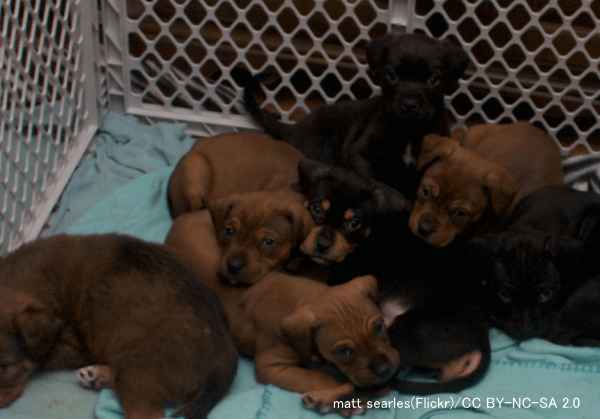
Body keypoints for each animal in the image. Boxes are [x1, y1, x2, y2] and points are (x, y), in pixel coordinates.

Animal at [0, 235, 238, 418]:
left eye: (3, 367)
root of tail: (225, 353)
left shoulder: (73, 346)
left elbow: (41, 361)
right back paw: (96, 376)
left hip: (137, 368)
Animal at [244, 32, 468, 199]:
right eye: (392, 75)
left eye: (433, 79)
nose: (409, 105)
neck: (408, 132)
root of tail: (294, 127)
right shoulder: (360, 155)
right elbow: (377, 184)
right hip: (325, 147)